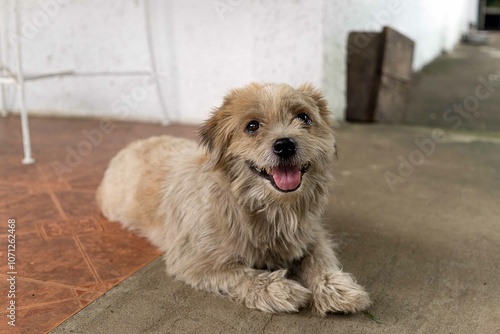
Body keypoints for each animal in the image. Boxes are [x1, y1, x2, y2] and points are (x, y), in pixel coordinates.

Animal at [96, 82, 372, 314]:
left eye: (304, 117)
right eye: (252, 126)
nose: (285, 145)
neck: (265, 207)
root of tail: (129, 146)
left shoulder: (313, 235)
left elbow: (321, 260)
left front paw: (337, 288)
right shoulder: (193, 262)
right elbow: (240, 274)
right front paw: (278, 288)